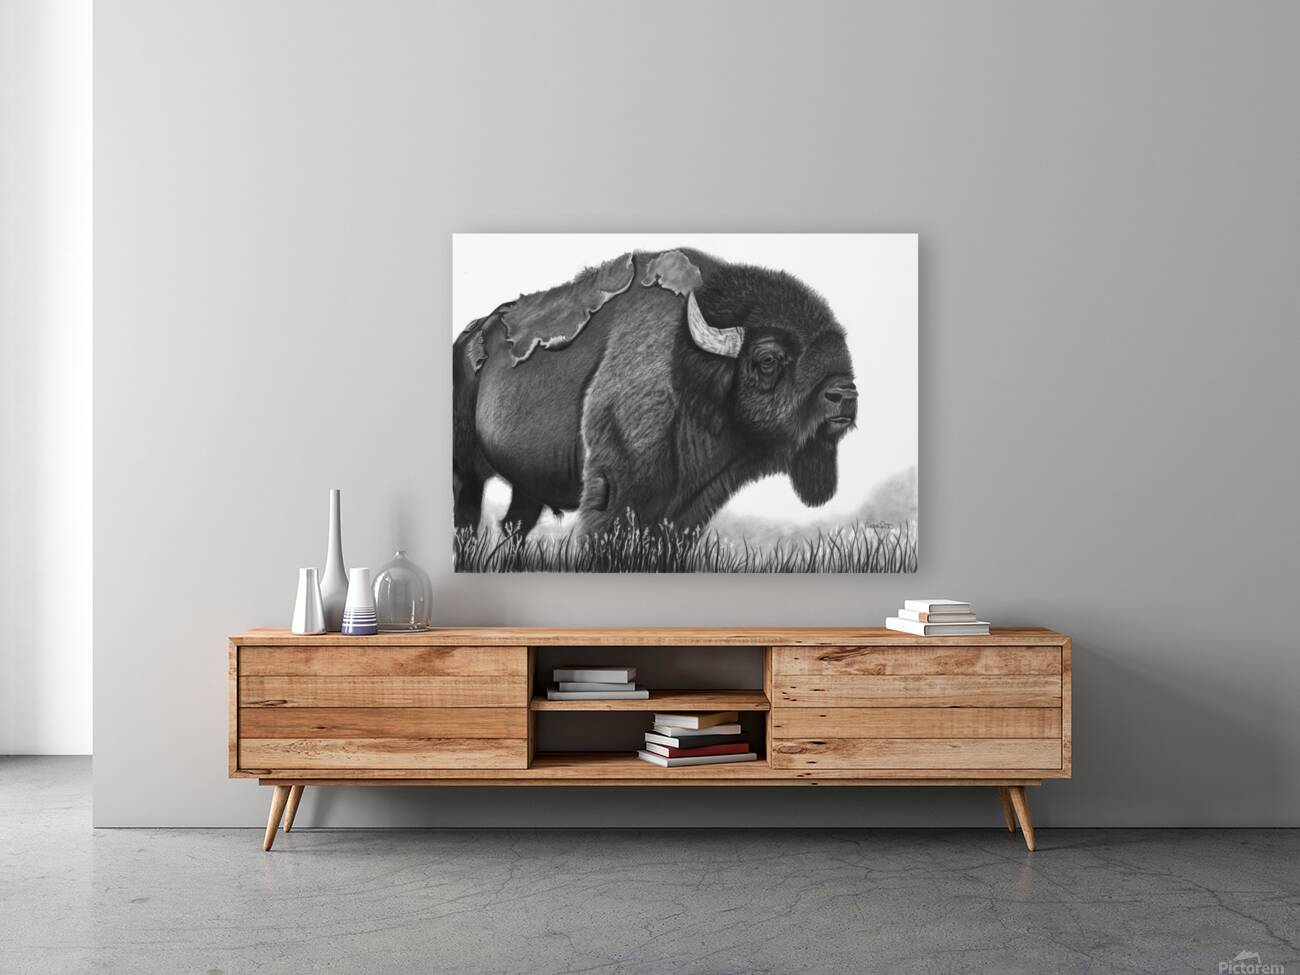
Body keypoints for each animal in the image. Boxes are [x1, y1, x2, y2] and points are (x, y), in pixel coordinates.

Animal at [453, 248, 857, 538]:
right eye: (769, 359)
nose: (845, 394)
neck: (687, 361)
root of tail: (470, 336)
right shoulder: (615, 490)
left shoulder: (687, 509)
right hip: (465, 470)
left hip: (526, 485)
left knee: (514, 525)